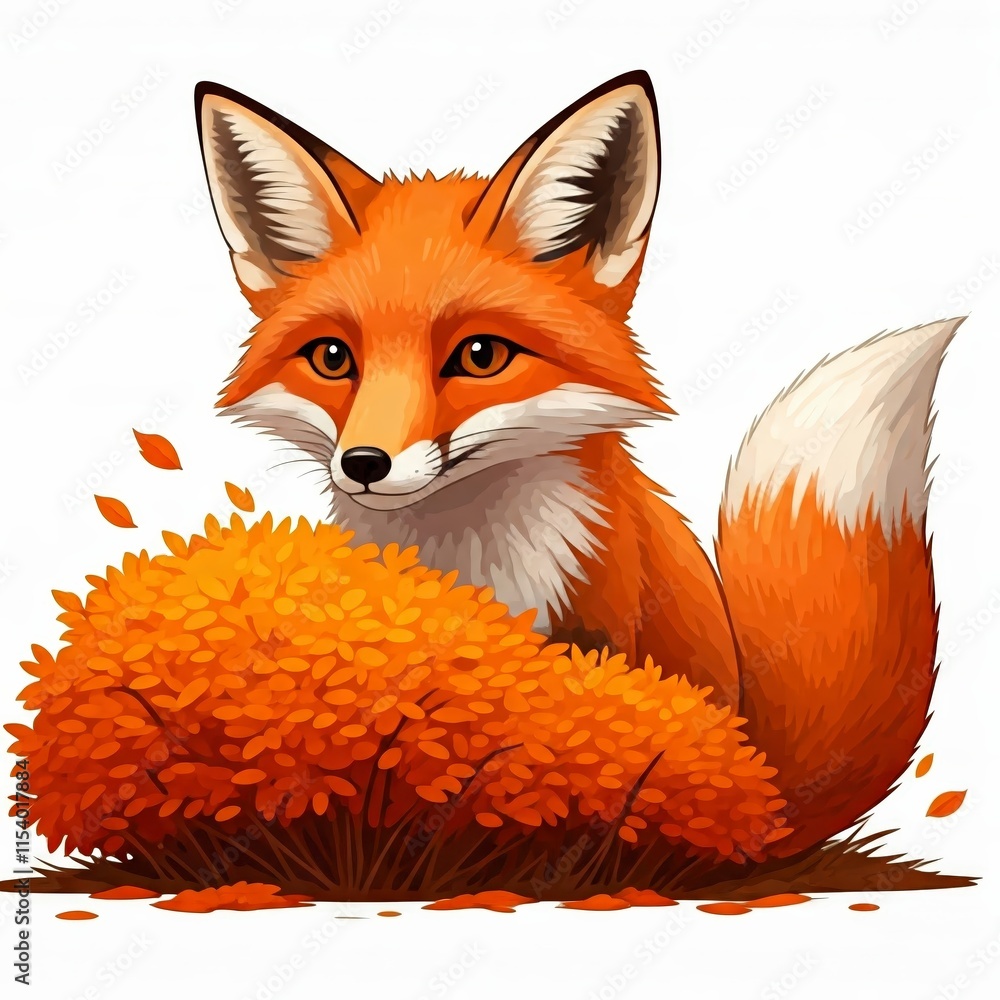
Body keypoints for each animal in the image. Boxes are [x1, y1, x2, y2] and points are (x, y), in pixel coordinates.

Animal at [195, 71, 957, 858]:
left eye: (480, 356)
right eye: (332, 358)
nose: (365, 463)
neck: (464, 557)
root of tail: (765, 799)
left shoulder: (592, 634)